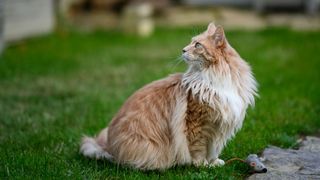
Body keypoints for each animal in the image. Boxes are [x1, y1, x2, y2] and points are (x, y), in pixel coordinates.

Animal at [80, 22, 258, 170]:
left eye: (197, 45)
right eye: (190, 43)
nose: (183, 50)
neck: (215, 78)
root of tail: (109, 146)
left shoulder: (218, 127)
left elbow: (213, 149)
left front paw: (213, 163)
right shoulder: (198, 123)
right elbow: (199, 149)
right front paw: (201, 165)